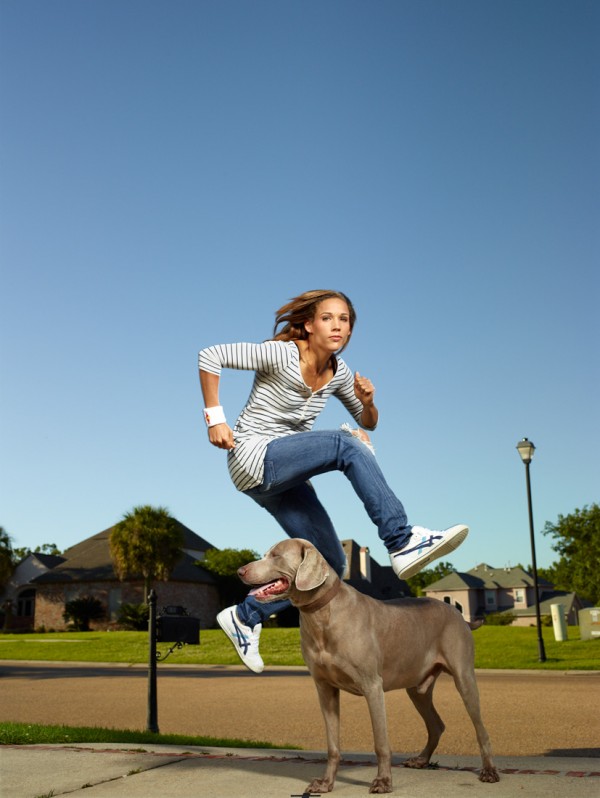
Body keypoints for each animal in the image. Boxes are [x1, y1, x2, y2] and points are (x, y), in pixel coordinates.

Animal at [237, 540, 500, 796]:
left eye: (276, 555)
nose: (240, 571)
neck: (322, 616)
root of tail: (459, 615)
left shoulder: (372, 686)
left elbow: (381, 742)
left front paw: (383, 782)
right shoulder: (325, 689)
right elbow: (332, 744)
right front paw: (326, 783)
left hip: (463, 677)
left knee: (481, 730)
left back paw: (489, 771)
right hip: (417, 688)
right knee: (436, 725)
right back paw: (421, 760)